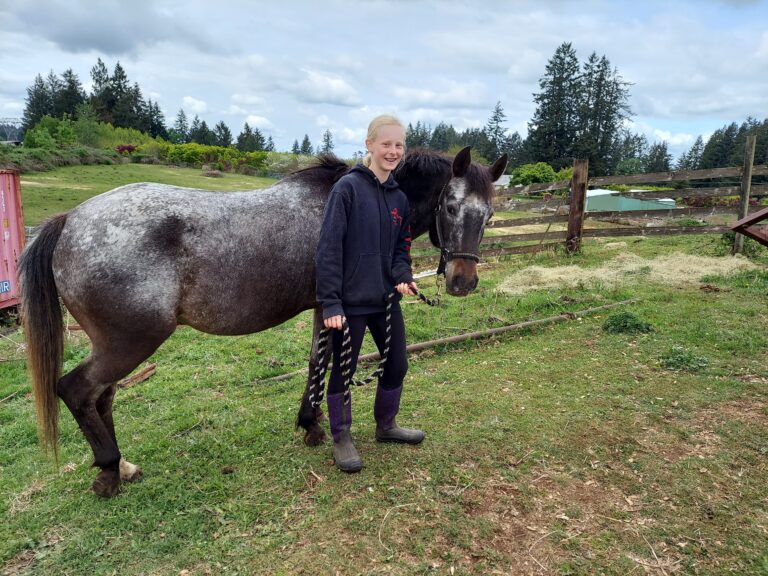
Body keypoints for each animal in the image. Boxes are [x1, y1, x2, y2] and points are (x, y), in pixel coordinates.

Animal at [18, 145, 508, 496]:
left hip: (115, 346)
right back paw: (108, 471)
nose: (463, 281)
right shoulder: (335, 312)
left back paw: (122, 465)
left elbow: (315, 364)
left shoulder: (321, 311)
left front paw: (310, 422)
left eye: (488, 214)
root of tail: (70, 221)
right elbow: (331, 367)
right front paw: (316, 427)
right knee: (77, 391)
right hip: (130, 342)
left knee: (101, 398)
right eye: (450, 207)